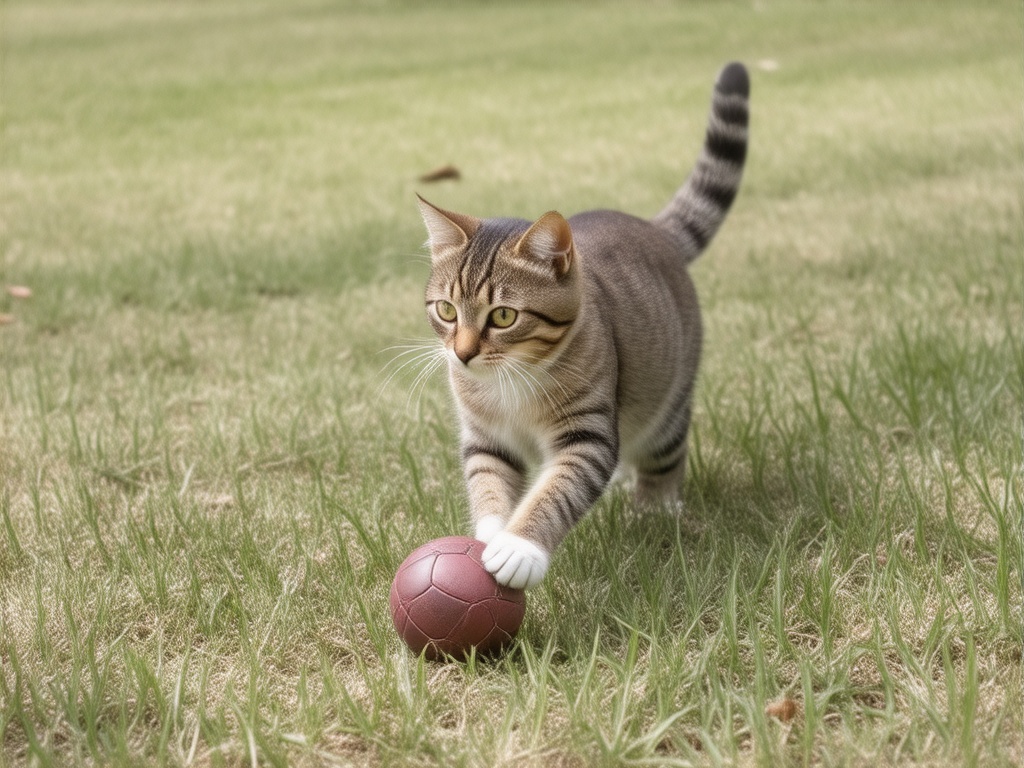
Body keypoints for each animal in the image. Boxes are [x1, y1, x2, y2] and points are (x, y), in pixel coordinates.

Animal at [411, 61, 749, 589]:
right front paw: (490, 534)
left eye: (503, 316)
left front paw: (519, 548)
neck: (512, 377)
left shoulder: (586, 432)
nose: (462, 354)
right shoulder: (487, 437)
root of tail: (652, 229)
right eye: (446, 310)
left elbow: (559, 490)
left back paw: (656, 508)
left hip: (666, 401)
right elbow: (488, 480)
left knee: (665, 452)